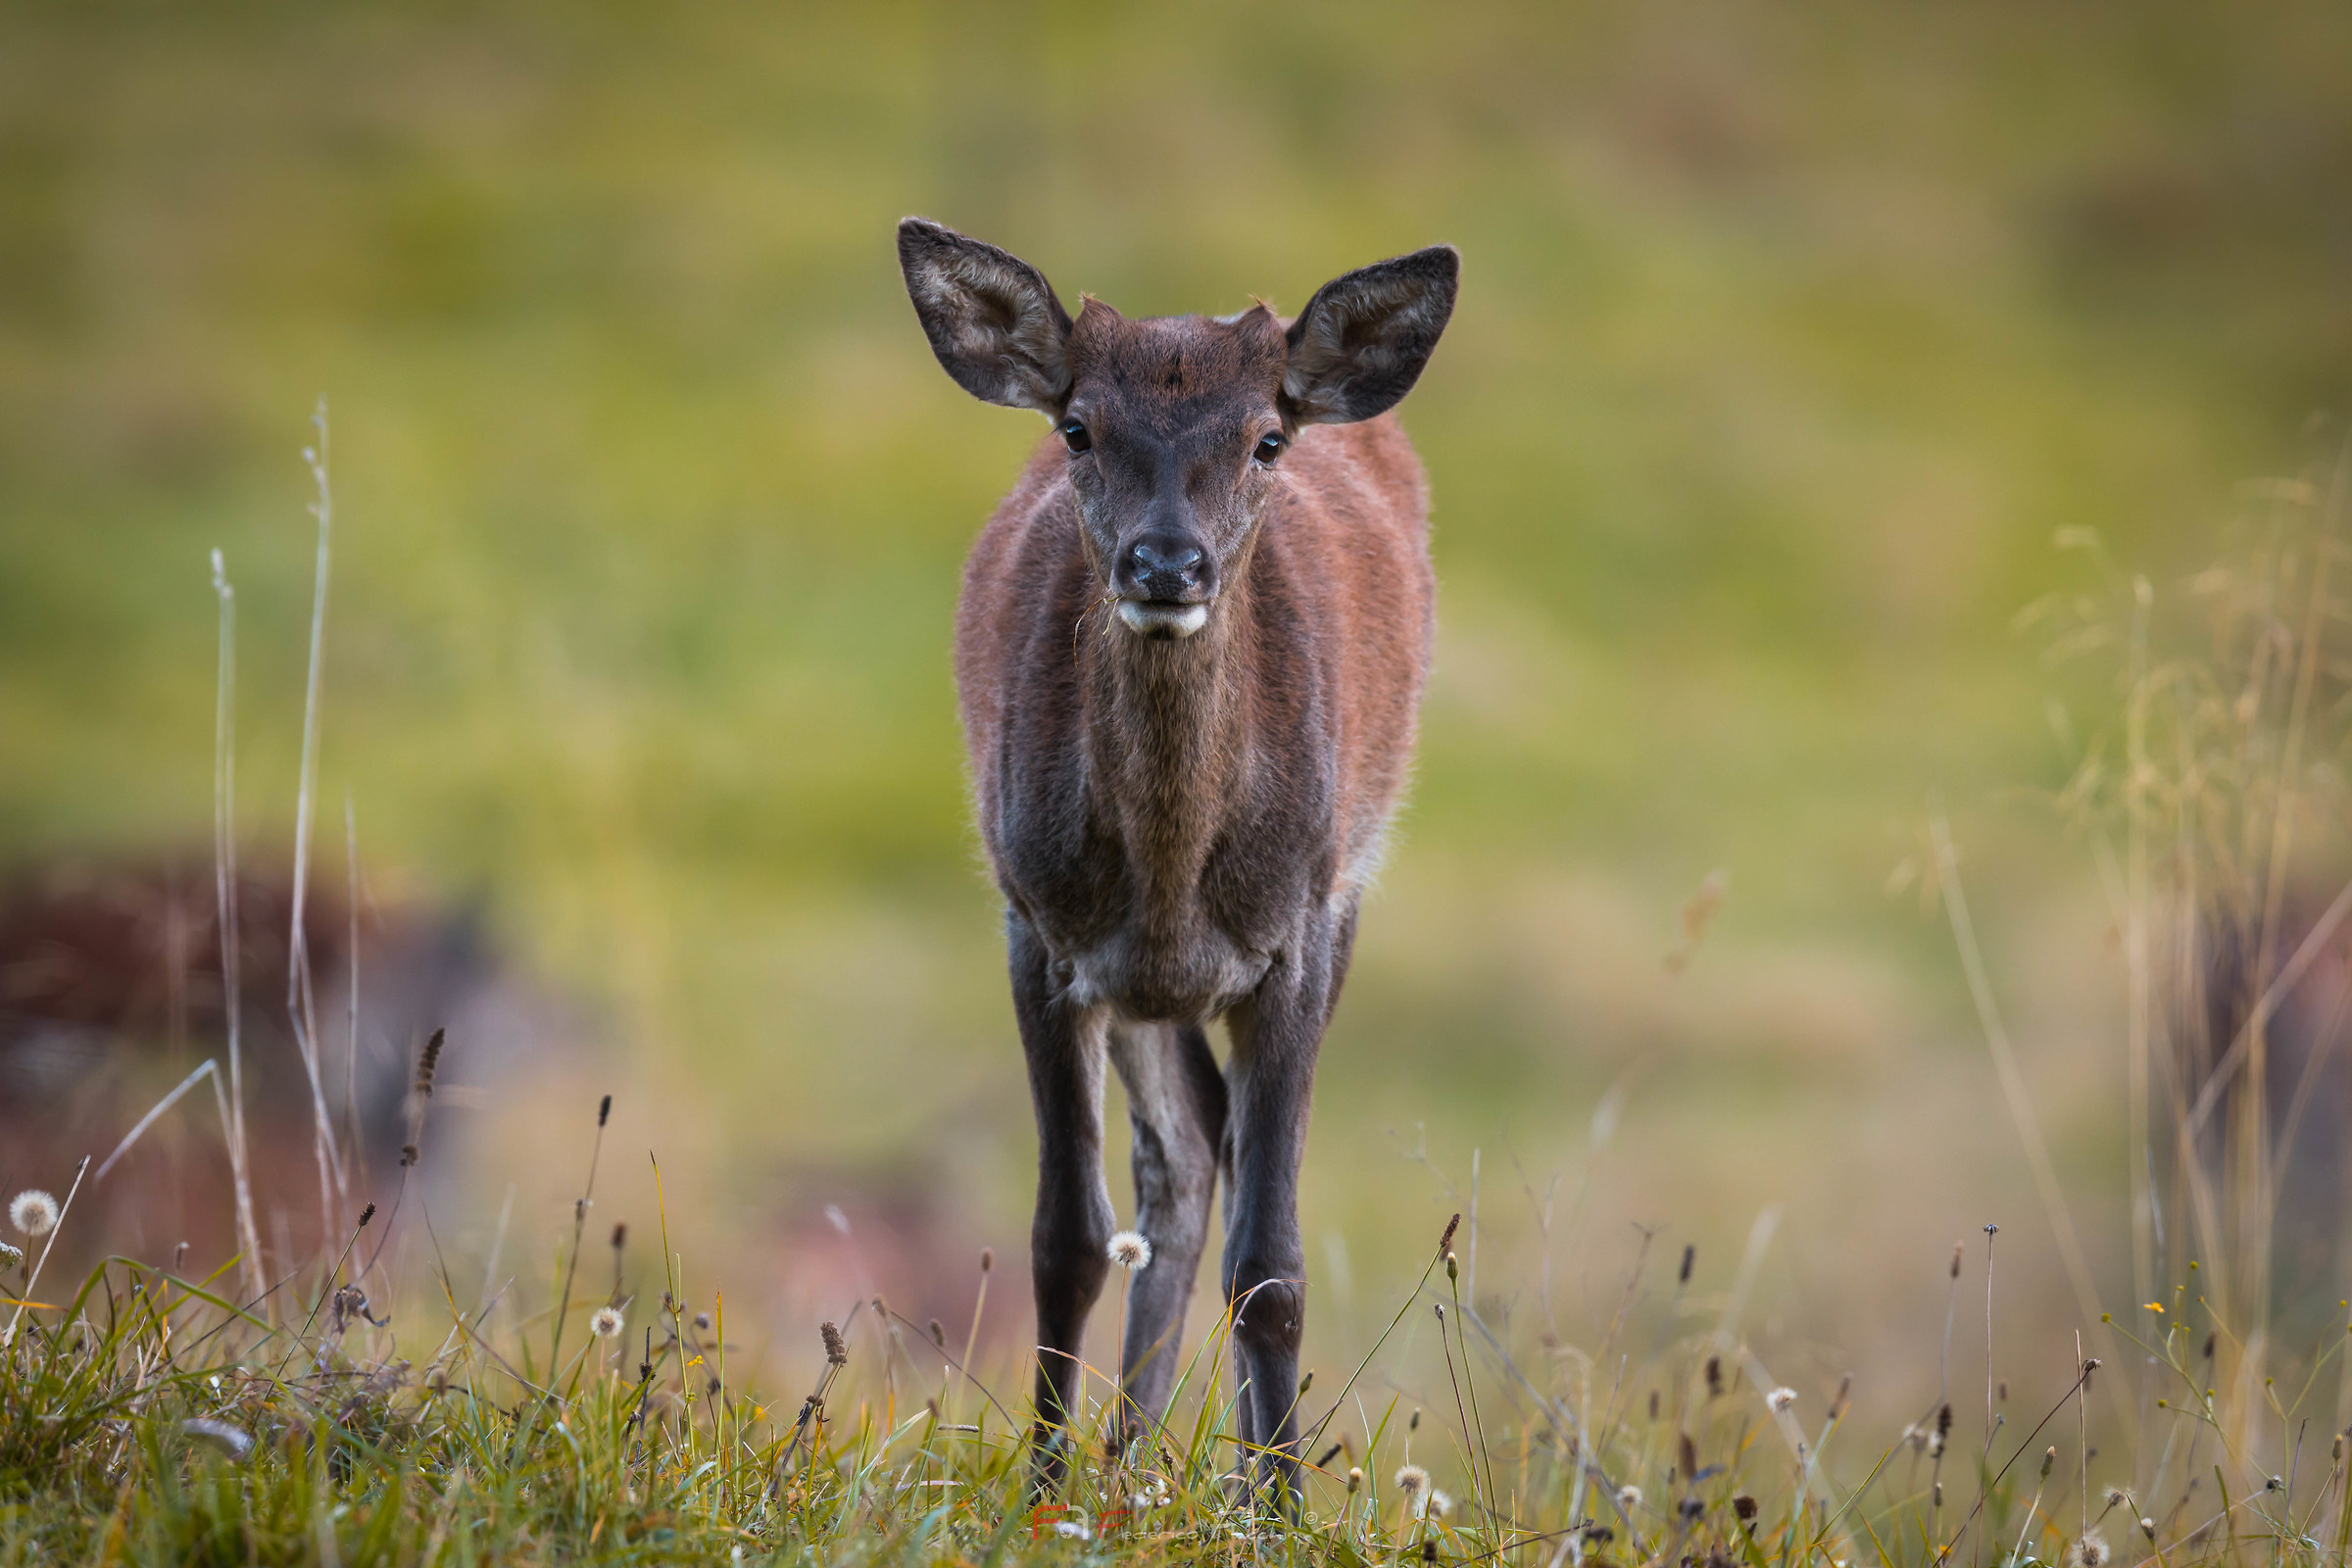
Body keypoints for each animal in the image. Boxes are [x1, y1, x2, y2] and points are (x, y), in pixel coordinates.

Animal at [896, 217, 1457, 1499]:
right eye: (1078, 428)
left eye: (1265, 439)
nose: (1166, 565)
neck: (1168, 867)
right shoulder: (1040, 932)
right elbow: (1066, 1237)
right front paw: (1043, 1493)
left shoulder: (1297, 933)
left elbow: (1275, 1265)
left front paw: (1284, 1509)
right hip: (1140, 987)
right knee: (1186, 1160)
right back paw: (1127, 1457)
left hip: (1345, 889)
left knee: (1224, 1163)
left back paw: (1219, 1472)